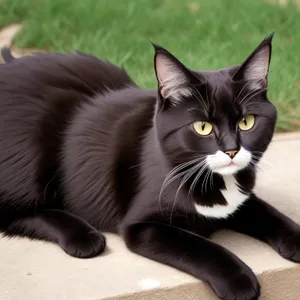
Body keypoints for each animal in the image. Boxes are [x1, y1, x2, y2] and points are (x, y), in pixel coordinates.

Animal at [0, 32, 300, 300]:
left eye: (247, 122)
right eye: (202, 126)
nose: (231, 150)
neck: (216, 181)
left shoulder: (239, 200)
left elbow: (267, 212)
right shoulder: (142, 227)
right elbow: (198, 246)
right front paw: (238, 280)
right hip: (30, 150)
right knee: (13, 212)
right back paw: (82, 236)